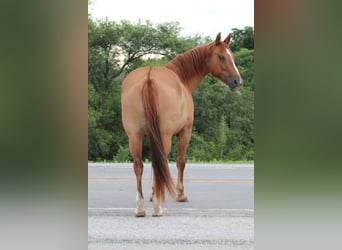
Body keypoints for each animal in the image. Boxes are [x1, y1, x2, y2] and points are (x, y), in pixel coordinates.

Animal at [121, 32, 242, 217]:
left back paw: (140, 208)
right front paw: (180, 194)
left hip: (134, 136)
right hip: (164, 137)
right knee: (159, 163)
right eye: (221, 57)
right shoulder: (185, 132)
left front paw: (153, 193)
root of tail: (148, 78)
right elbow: (181, 162)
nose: (237, 81)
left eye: (232, 56)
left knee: (138, 165)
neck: (181, 79)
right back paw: (158, 207)